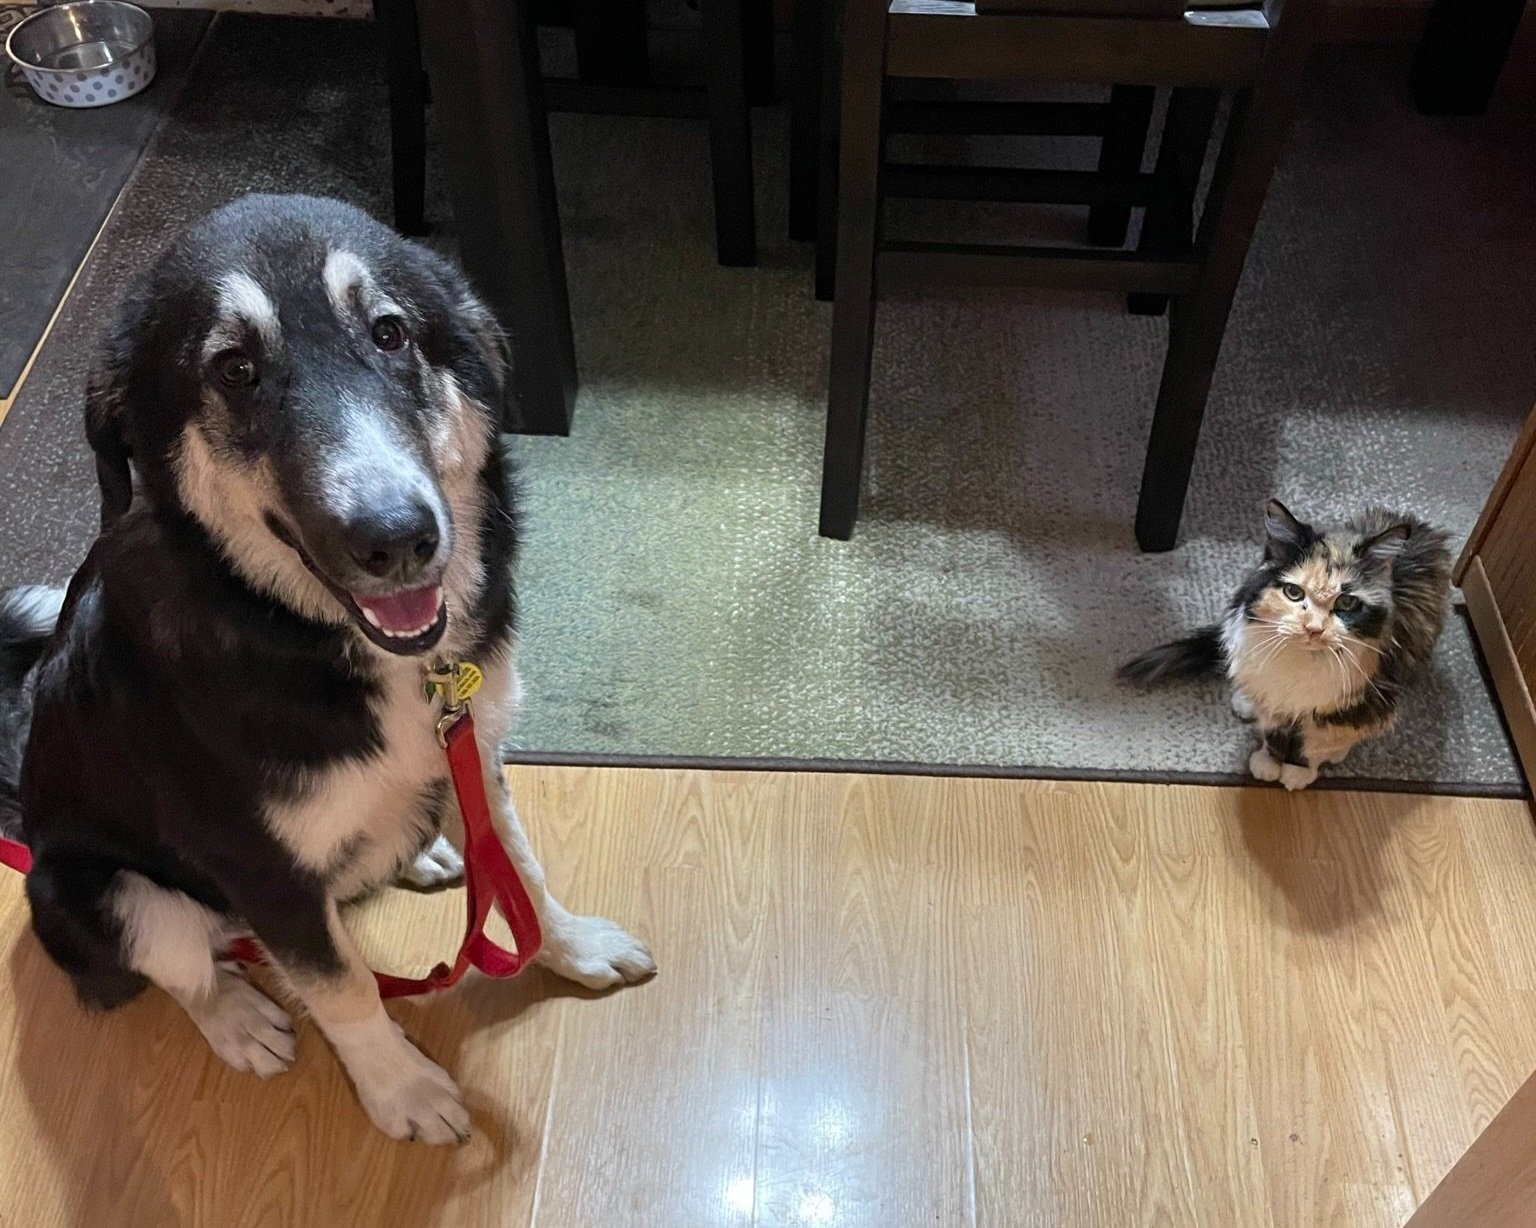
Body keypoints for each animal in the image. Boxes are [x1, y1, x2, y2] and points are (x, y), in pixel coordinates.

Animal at [0, 194, 654, 1144]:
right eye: (234, 369)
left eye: (390, 332)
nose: (397, 539)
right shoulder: (258, 867)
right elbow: (343, 989)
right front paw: (402, 1090)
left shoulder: (475, 749)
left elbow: (521, 869)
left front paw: (570, 947)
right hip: (101, 891)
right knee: (188, 967)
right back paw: (240, 1019)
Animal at [1119, 500, 1453, 791]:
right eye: (1294, 593)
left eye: (1346, 603)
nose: (1313, 629)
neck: (1300, 665)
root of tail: (1416, 524)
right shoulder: (1273, 693)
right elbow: (1272, 732)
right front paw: (1268, 764)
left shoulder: (1350, 704)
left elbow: (1315, 744)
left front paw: (1296, 773)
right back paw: (1244, 702)